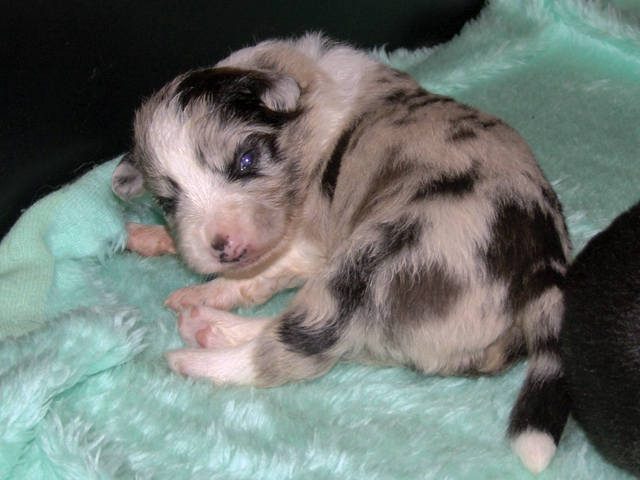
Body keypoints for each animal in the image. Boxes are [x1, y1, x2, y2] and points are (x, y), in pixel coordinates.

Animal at [112, 34, 572, 473]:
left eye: (245, 160)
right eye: (167, 201)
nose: (226, 248)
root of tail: (542, 273)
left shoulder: (311, 243)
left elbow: (263, 271)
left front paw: (203, 289)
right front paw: (152, 237)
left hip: (375, 259)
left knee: (297, 346)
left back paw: (192, 351)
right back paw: (205, 326)